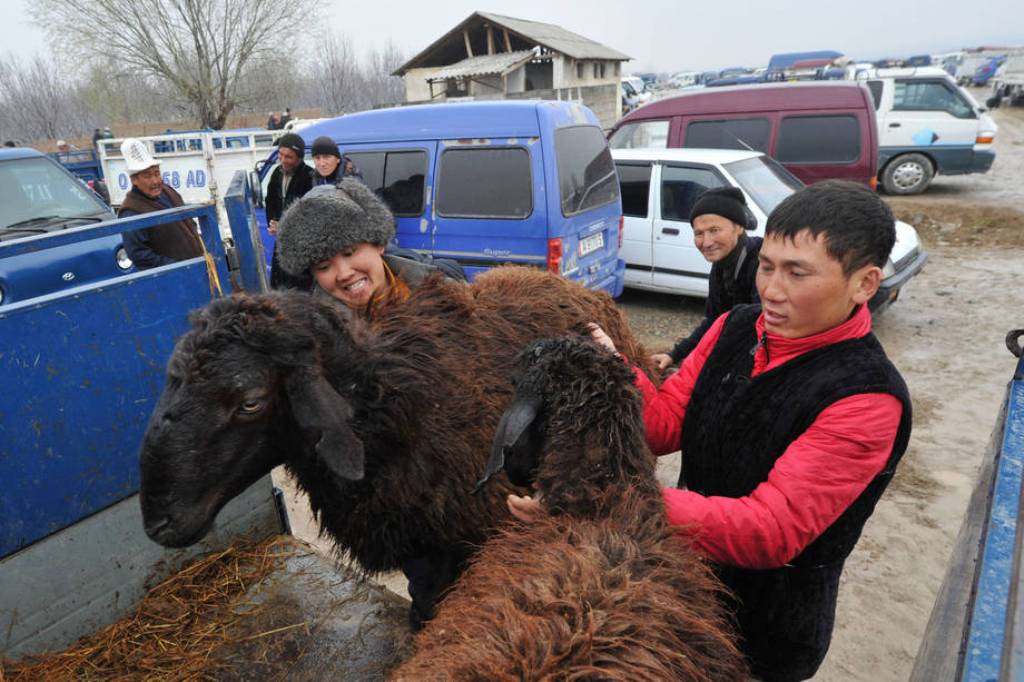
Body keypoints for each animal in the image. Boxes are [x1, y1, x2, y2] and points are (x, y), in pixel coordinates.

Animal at [138, 266, 655, 626]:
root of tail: (579, 287)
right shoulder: (421, 540)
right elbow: (426, 601)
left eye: (250, 401)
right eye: (172, 378)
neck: (393, 404)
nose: (159, 523)